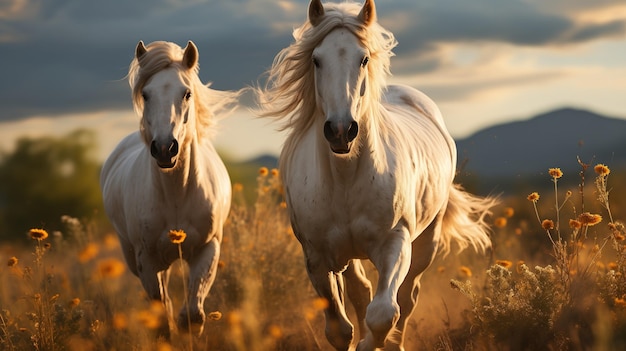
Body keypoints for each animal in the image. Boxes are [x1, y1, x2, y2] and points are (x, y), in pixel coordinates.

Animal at [100, 40, 236, 336]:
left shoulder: (207, 250)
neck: (177, 194)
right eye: (146, 94)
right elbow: (163, 321)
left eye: (187, 93)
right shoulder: (147, 261)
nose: (165, 148)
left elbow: (193, 315)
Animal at [256, 1, 494, 350]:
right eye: (316, 60)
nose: (341, 131)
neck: (345, 178)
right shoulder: (316, 257)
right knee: (361, 291)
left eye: (364, 58)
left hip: (426, 242)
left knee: (407, 297)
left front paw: (372, 343)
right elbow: (340, 328)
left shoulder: (395, 243)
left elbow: (383, 313)